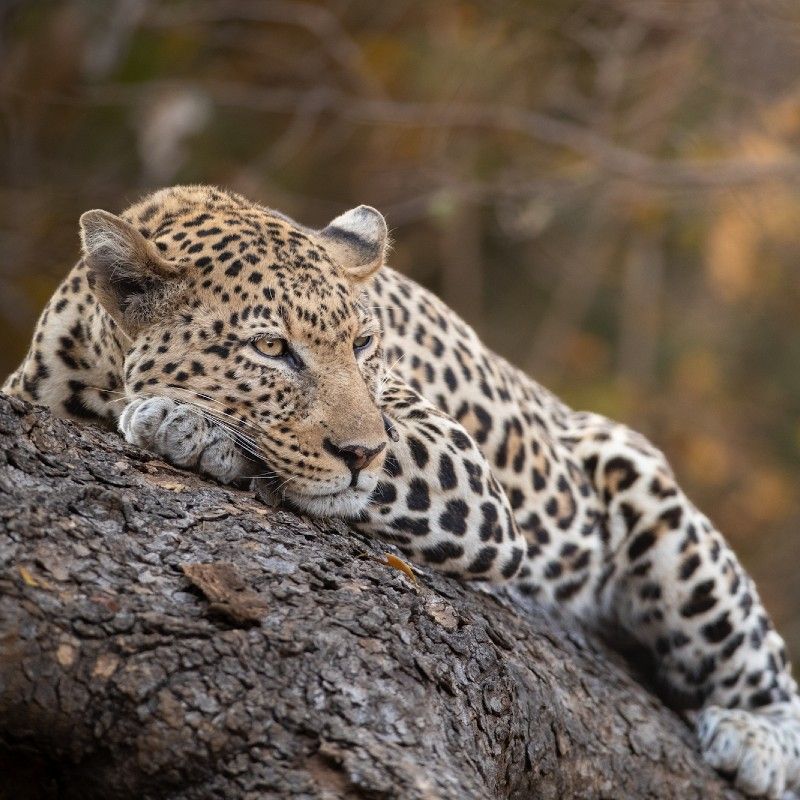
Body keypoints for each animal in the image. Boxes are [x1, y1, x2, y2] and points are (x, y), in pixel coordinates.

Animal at [4, 184, 800, 798]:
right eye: (270, 348)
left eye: (362, 343)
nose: (359, 451)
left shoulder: (459, 465)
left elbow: (385, 457)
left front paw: (183, 422)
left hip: (645, 490)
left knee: (763, 663)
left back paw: (753, 737)